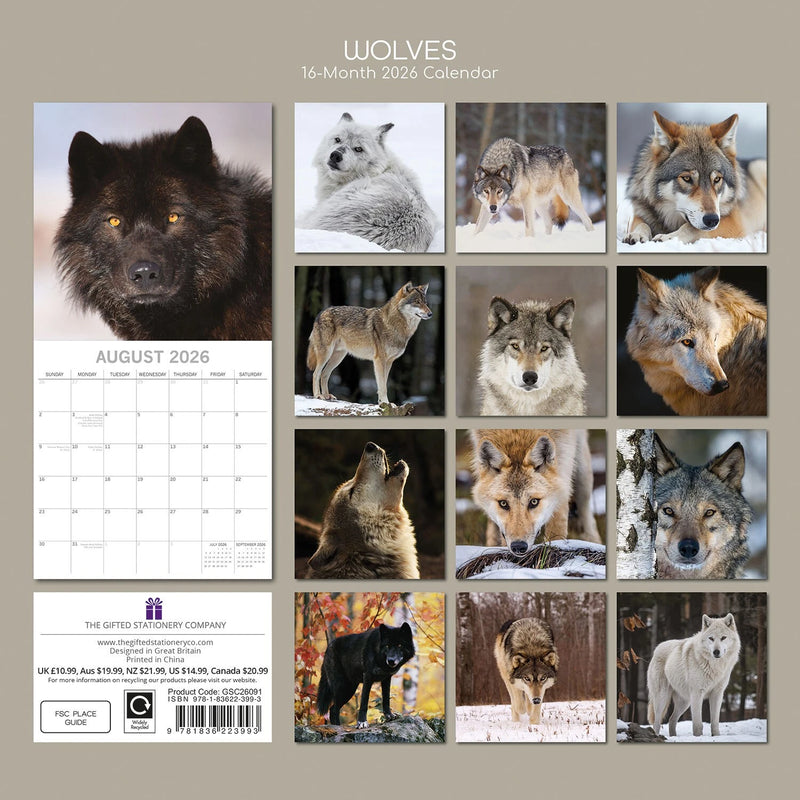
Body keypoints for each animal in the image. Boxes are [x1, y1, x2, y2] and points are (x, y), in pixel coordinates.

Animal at [469, 428, 601, 555]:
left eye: (534, 502)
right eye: (503, 503)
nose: (518, 546)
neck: (518, 433)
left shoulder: (564, 465)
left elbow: (556, 528)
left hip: (582, 474)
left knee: (587, 517)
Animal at [623, 111, 767, 245]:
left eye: (717, 179)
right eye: (687, 178)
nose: (712, 220)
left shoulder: (733, 221)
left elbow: (692, 228)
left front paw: (668, 237)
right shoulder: (641, 212)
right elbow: (641, 223)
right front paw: (636, 234)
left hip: (759, 166)